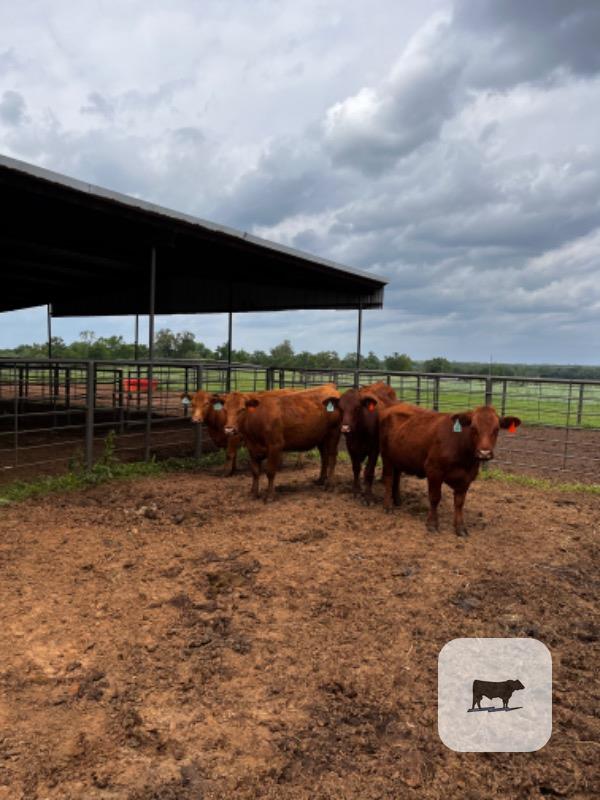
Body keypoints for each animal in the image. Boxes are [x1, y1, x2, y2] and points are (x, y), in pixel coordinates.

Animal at [379, 405, 521, 535]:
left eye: (496, 429)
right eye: (473, 428)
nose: (484, 453)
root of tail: (393, 406)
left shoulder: (467, 477)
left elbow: (459, 503)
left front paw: (460, 528)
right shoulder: (434, 470)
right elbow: (435, 497)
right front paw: (432, 524)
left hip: (398, 458)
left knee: (396, 477)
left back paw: (398, 500)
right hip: (387, 457)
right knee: (388, 479)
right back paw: (387, 506)